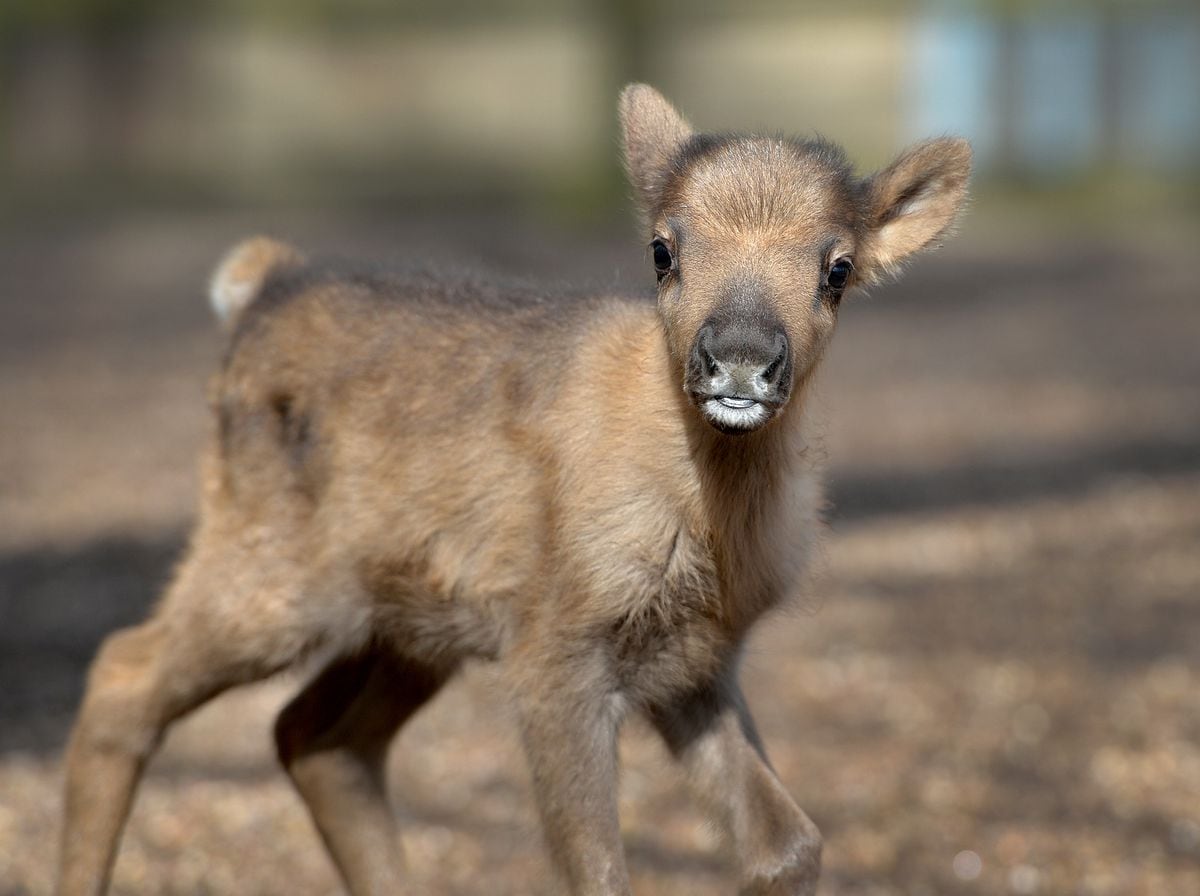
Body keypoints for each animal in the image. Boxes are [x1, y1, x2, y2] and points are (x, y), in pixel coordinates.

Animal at [58, 85, 974, 896]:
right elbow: (598, 872)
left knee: (314, 735)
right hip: (271, 573)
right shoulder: (556, 644)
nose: (740, 359)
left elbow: (787, 845)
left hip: (409, 623)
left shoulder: (695, 660)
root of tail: (254, 291)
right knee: (123, 673)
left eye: (838, 268)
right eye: (663, 249)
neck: (707, 517)